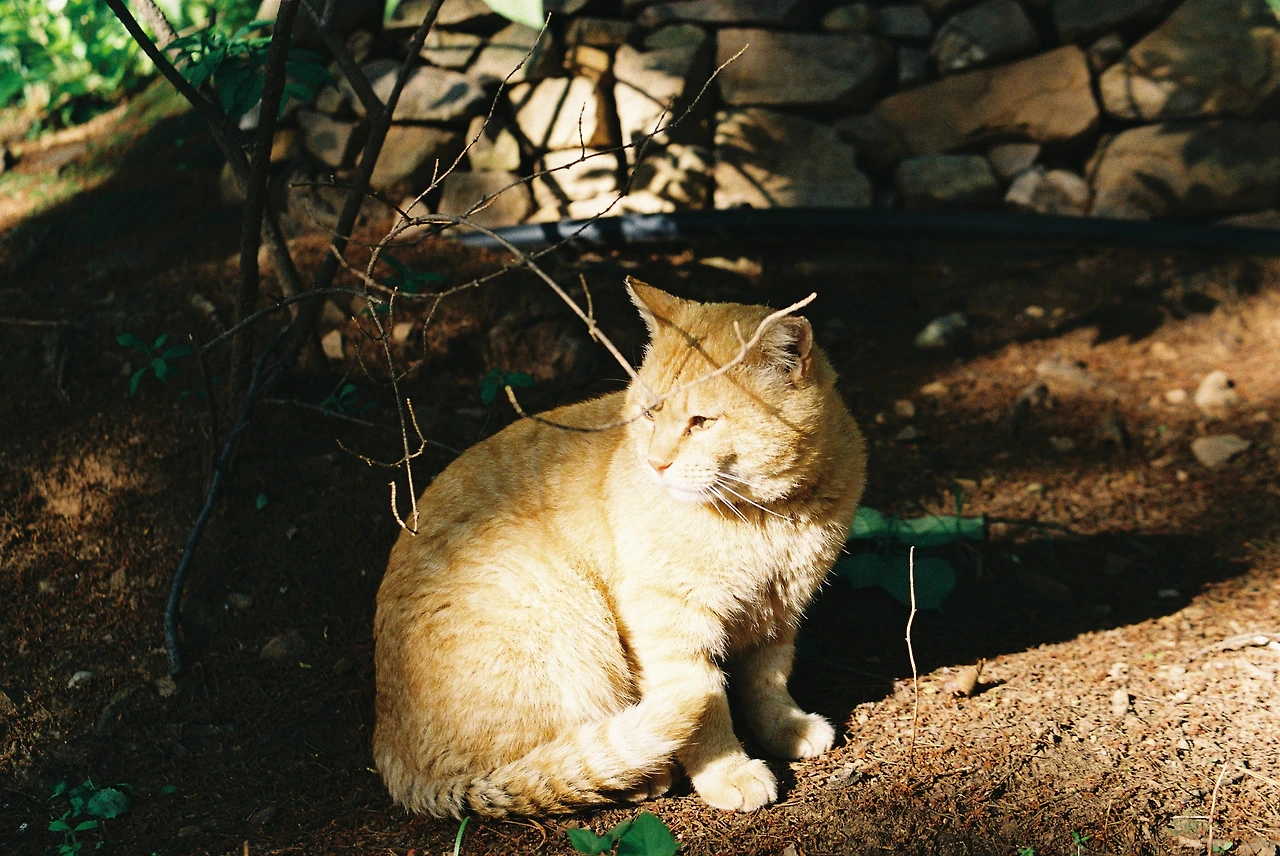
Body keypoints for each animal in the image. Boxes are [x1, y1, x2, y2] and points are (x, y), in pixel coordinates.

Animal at [372, 278, 866, 818]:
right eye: (652, 413)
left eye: (701, 421)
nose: (656, 463)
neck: (767, 518)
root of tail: (393, 752)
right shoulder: (668, 621)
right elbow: (707, 705)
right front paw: (727, 772)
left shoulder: (780, 609)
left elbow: (769, 679)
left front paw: (785, 727)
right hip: (565, 616)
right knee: (562, 761)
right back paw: (646, 776)